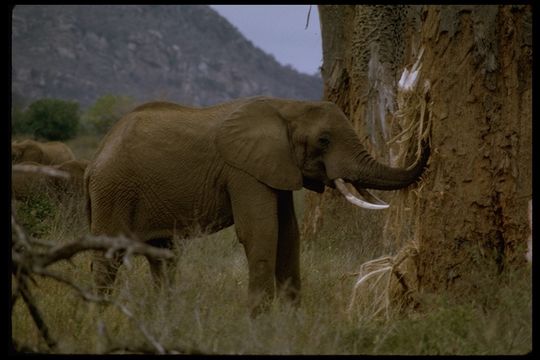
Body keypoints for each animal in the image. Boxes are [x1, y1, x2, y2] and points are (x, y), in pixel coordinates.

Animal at [85, 96, 430, 316]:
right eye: (324, 141)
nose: (426, 138)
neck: (286, 107)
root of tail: (96, 157)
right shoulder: (244, 171)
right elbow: (261, 232)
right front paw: (258, 321)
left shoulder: (278, 167)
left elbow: (289, 235)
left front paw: (291, 320)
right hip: (113, 190)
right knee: (108, 257)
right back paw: (99, 317)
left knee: (164, 255)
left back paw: (165, 316)